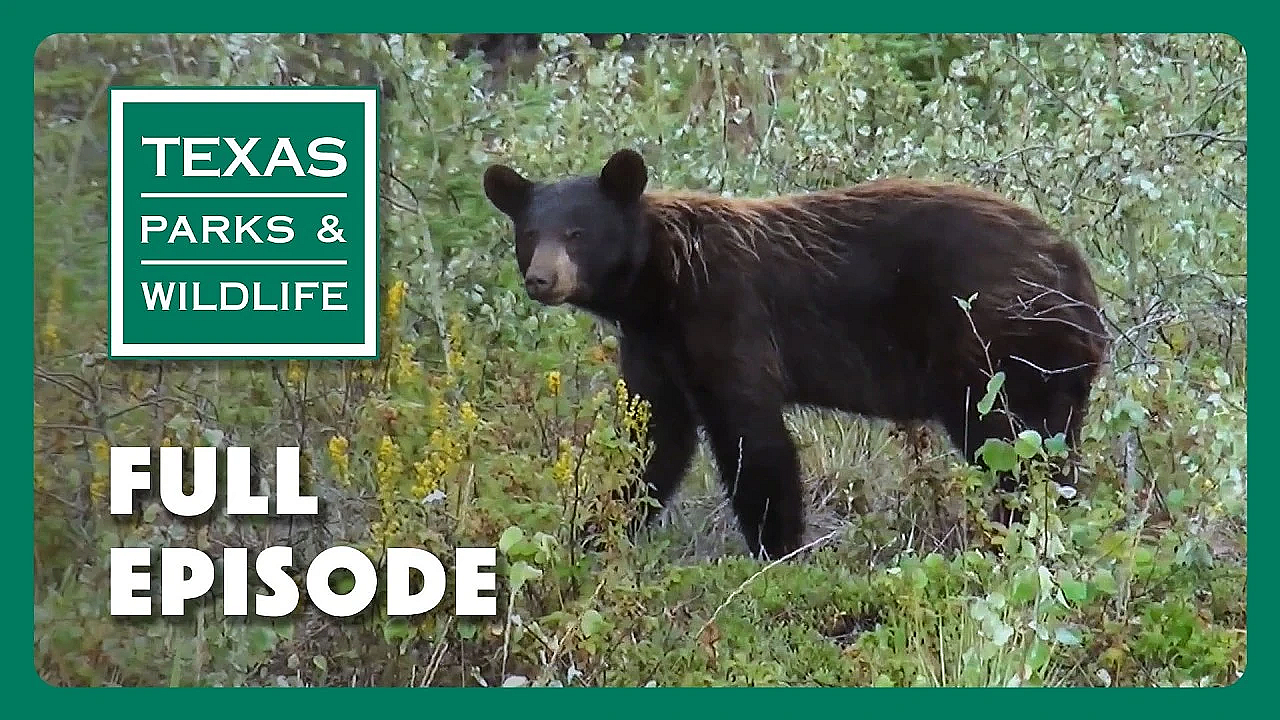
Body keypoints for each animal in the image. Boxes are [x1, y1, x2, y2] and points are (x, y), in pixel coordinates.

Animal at [482, 149, 1108, 560]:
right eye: (529, 233)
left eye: (578, 232)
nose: (542, 279)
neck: (660, 286)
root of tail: (1074, 268)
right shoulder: (654, 348)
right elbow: (653, 439)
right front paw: (594, 530)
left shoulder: (728, 314)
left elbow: (752, 438)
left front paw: (775, 548)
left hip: (1000, 348)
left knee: (1012, 445)